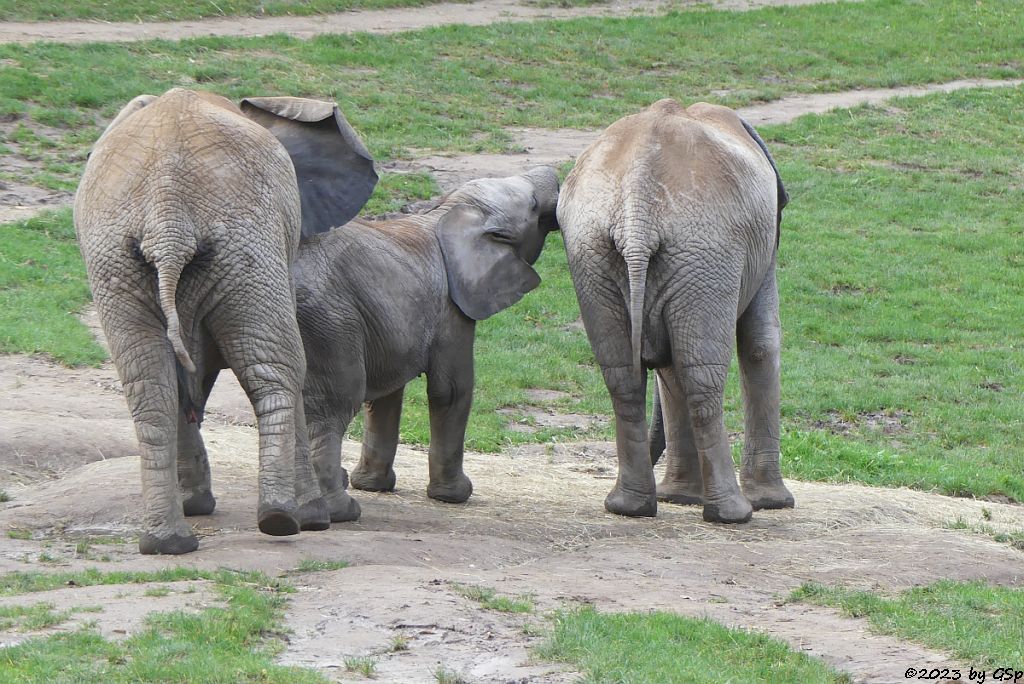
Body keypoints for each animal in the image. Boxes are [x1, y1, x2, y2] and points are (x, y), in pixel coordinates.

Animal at [74, 88, 376, 552]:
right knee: (277, 367)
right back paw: (290, 519)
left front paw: (195, 504)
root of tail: (167, 217)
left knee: (152, 386)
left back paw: (166, 542)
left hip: (120, 260)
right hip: (244, 241)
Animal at [292, 167, 561, 516]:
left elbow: (386, 397)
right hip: (330, 321)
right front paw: (454, 496)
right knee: (333, 405)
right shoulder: (451, 310)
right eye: (532, 205)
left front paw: (372, 485)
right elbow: (451, 390)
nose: (557, 174)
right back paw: (340, 511)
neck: (447, 212)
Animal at [557, 97, 794, 524]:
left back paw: (629, 506)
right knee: (702, 376)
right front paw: (773, 503)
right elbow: (760, 344)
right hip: (706, 252)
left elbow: (668, 367)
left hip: (595, 251)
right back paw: (733, 514)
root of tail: (637, 197)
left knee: (624, 376)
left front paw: (678, 498)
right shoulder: (762, 249)